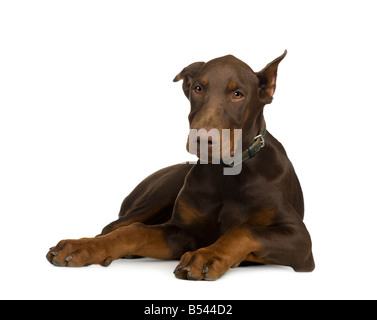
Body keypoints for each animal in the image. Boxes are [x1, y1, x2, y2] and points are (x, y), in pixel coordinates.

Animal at [45, 50, 312, 280]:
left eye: (238, 94)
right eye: (198, 88)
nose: (202, 139)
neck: (226, 174)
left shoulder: (300, 240)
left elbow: (243, 230)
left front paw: (208, 256)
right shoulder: (181, 230)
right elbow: (135, 230)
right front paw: (85, 247)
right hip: (159, 193)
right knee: (115, 226)